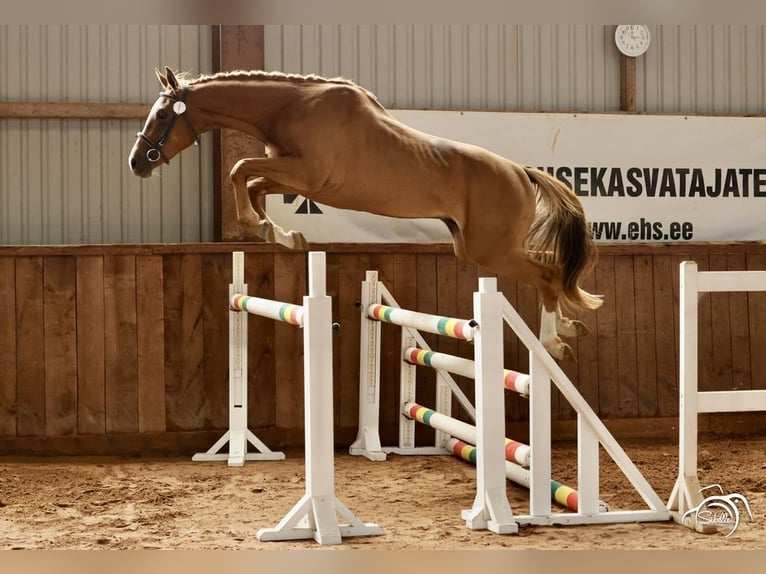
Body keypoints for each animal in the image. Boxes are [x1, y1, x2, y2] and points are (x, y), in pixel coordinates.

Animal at [129, 67, 604, 360]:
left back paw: (554, 341)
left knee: (548, 275)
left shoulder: (307, 175)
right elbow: (253, 184)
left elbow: (240, 170)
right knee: (551, 271)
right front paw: (280, 234)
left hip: (492, 250)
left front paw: (263, 227)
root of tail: (521, 173)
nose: (137, 162)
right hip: (476, 248)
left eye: (161, 115)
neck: (293, 107)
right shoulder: (295, 177)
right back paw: (569, 330)